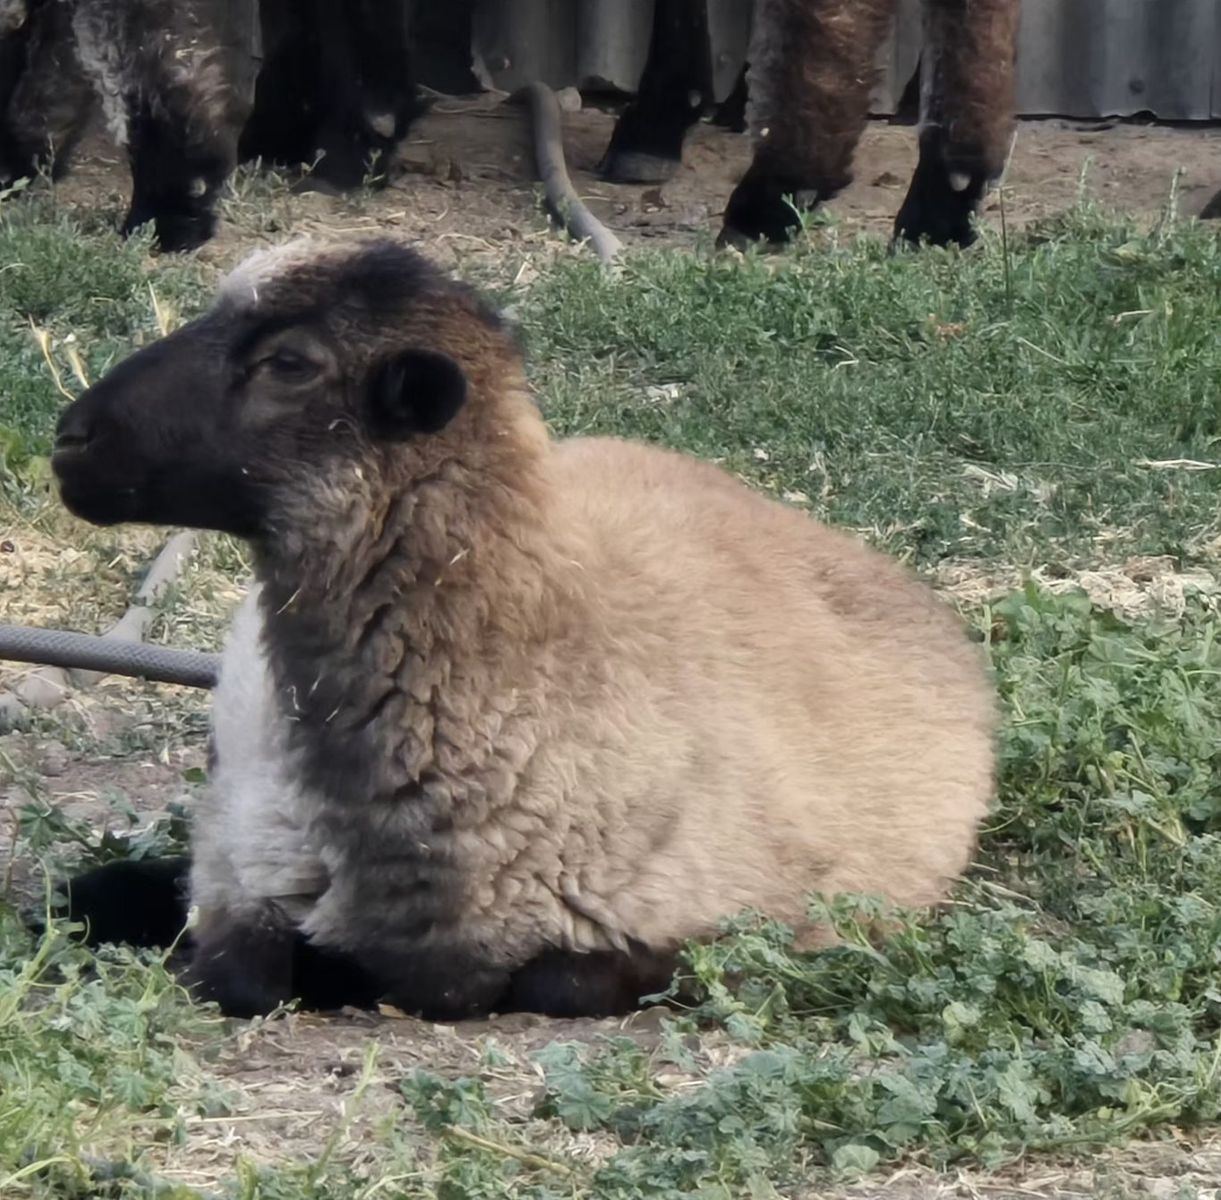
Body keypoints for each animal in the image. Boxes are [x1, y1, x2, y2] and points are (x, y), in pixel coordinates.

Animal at [49, 237, 998, 1021]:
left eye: (290, 362)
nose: (69, 438)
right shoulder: (237, 863)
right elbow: (243, 973)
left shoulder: (696, 928)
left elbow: (552, 983)